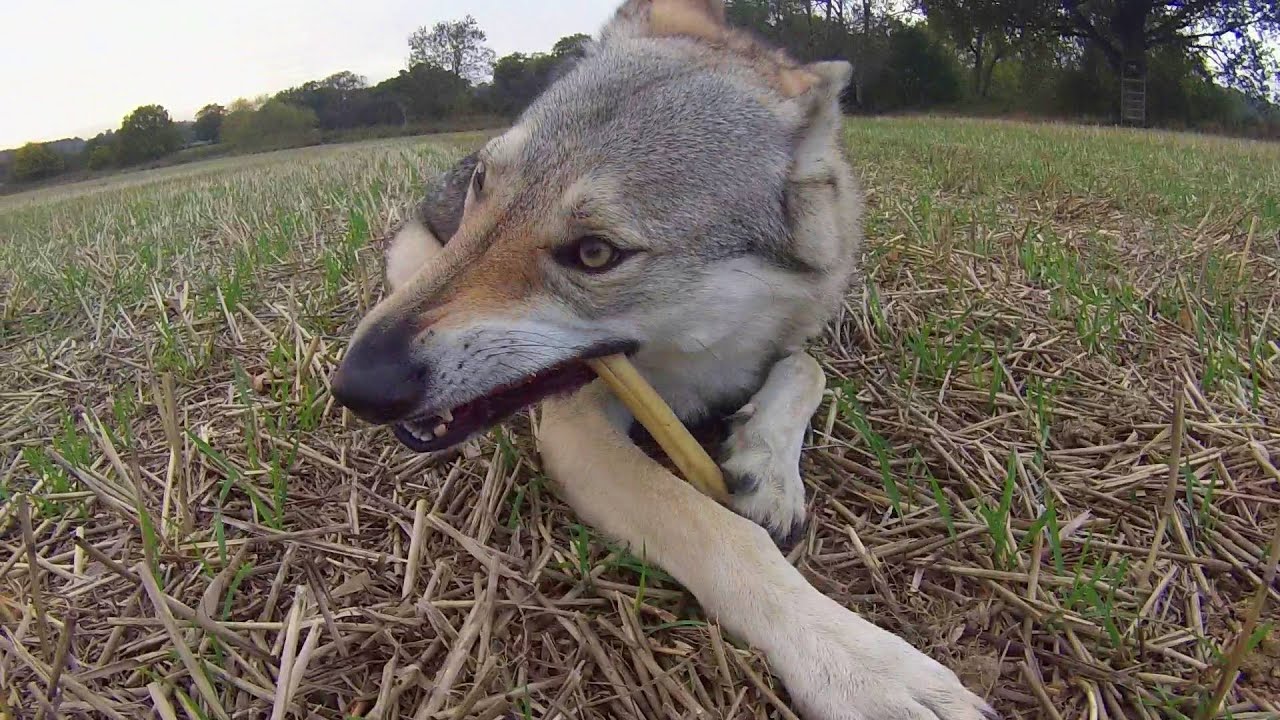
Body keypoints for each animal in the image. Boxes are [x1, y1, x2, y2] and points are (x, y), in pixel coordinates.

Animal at [327, 2, 988, 712]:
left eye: (595, 253)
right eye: (486, 183)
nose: (354, 385)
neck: (700, 354)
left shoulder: (791, 338)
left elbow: (807, 370)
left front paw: (768, 467)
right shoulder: (576, 431)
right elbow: (720, 532)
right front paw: (863, 667)